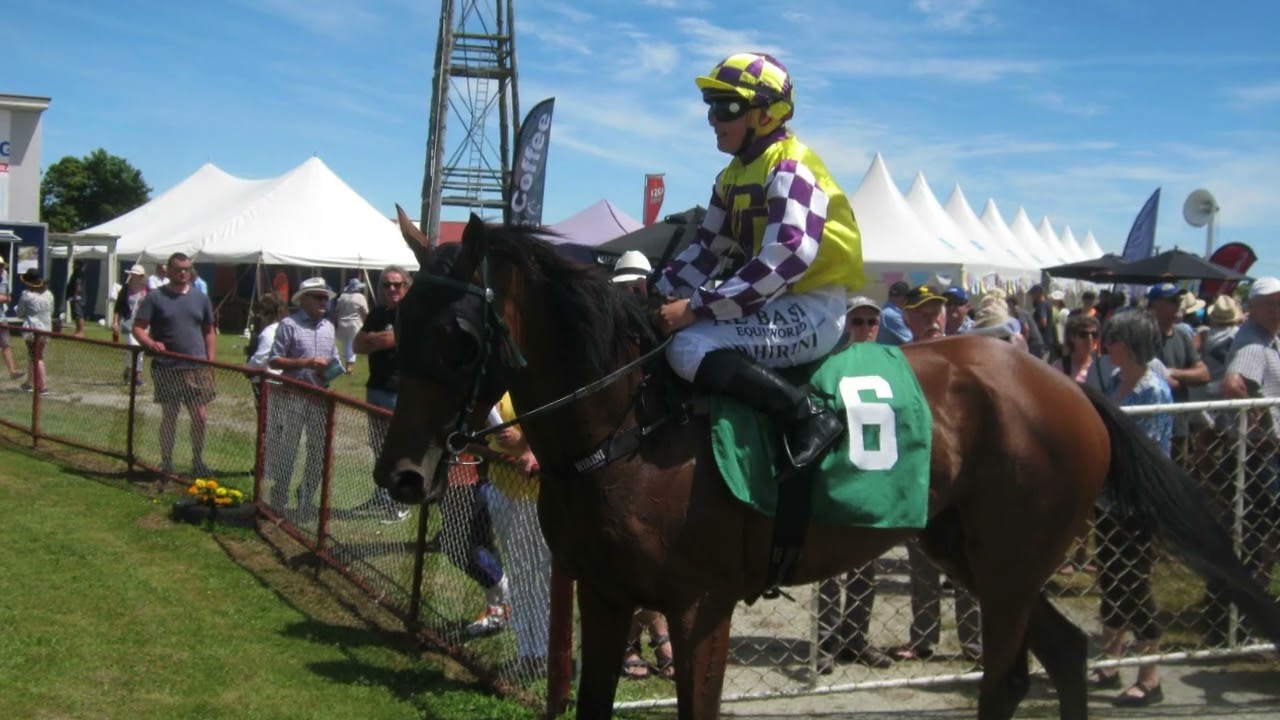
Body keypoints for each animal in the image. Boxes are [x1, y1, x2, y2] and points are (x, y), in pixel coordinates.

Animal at [374, 211, 1280, 720]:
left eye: (460, 337)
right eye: (399, 321)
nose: (403, 476)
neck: (630, 423)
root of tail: (1065, 385)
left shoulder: (699, 608)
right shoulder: (603, 595)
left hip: (1011, 561)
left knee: (1007, 680)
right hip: (972, 553)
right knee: (1062, 654)